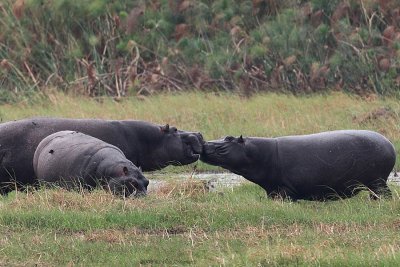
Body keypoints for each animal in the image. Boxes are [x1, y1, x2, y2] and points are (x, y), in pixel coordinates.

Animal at [202, 130, 396, 201]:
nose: (204, 143)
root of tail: (389, 144)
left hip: (377, 181)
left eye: (228, 139)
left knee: (385, 194)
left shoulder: (284, 188)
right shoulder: (272, 189)